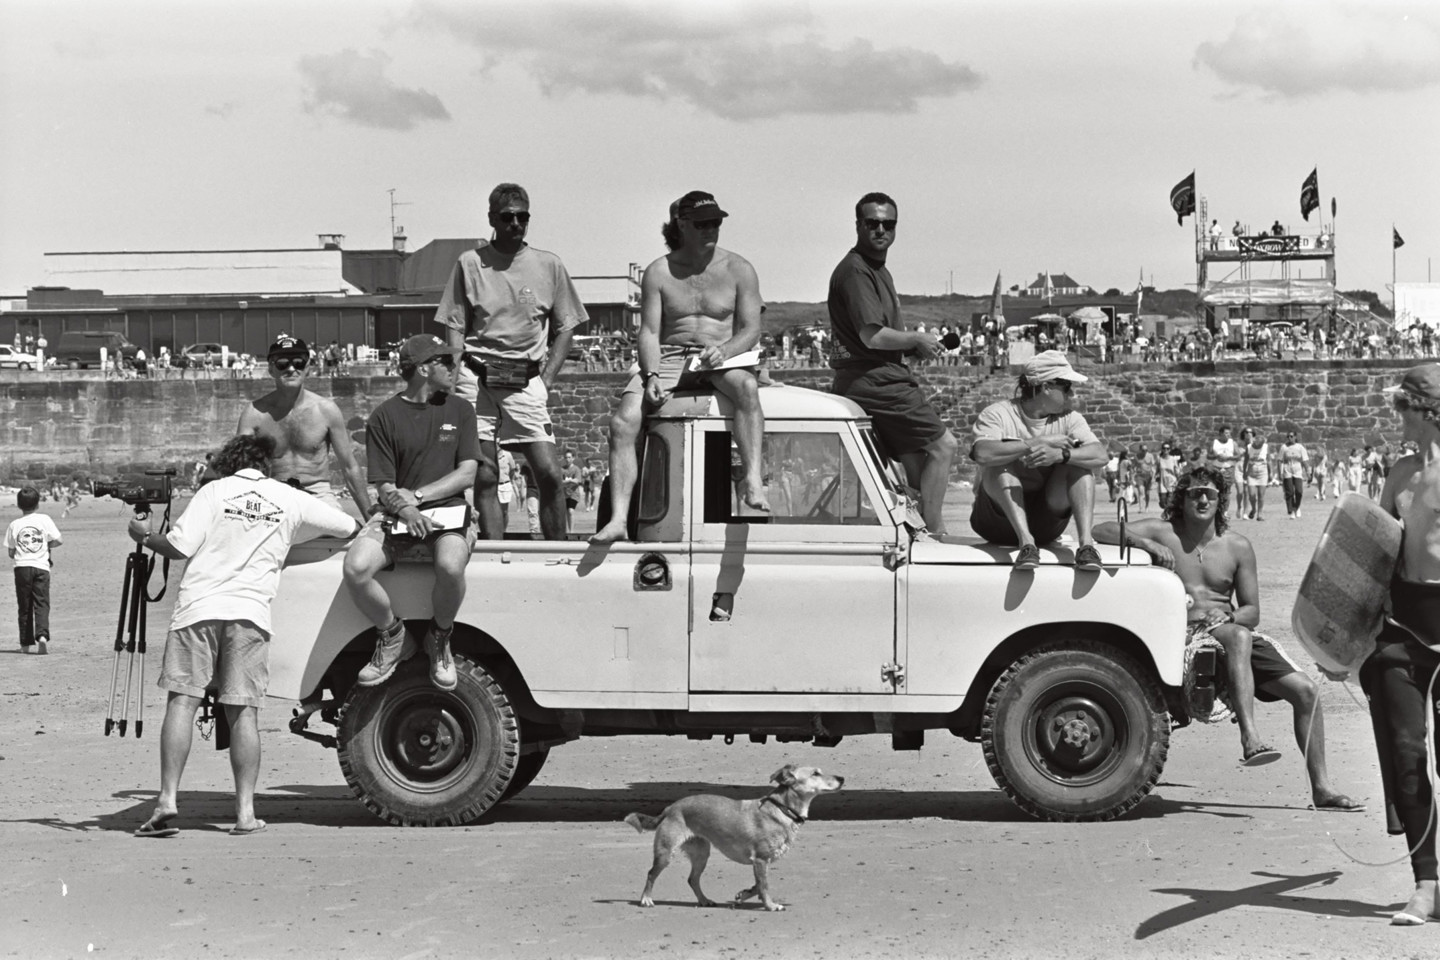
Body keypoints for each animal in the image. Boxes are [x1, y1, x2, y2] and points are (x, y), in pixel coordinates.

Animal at [622, 759, 840, 915]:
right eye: (816, 773)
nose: (842, 778)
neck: (781, 809)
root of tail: (670, 808)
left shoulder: (761, 862)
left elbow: (757, 886)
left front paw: (744, 895)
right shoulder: (760, 859)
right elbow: (764, 886)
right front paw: (770, 905)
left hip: (701, 854)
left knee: (693, 879)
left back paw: (704, 900)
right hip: (666, 853)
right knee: (651, 874)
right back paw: (646, 899)